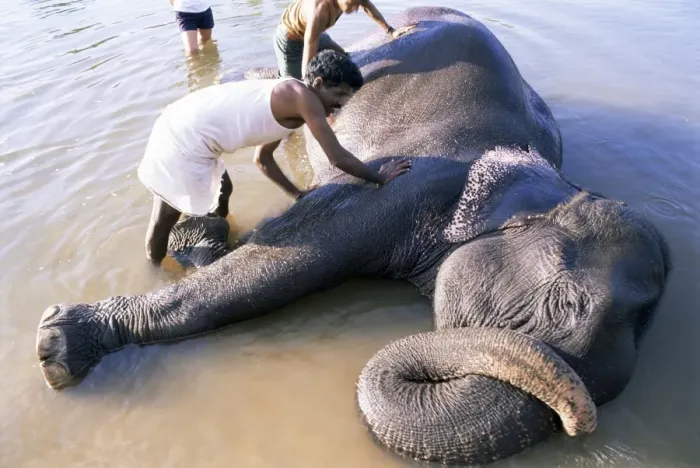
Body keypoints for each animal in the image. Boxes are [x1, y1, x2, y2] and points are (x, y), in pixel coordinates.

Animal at [35, 6, 671, 466]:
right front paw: (59, 347)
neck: (552, 183)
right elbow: (279, 265)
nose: (579, 423)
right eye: (568, 302)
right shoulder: (405, 188)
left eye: (641, 327)